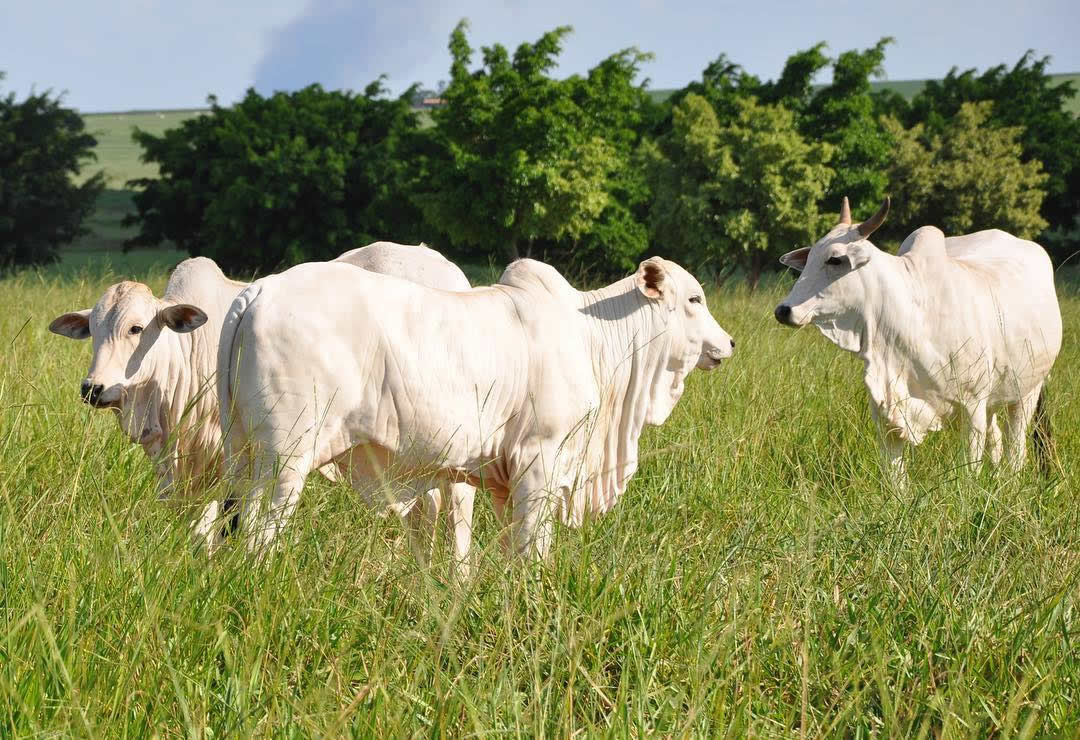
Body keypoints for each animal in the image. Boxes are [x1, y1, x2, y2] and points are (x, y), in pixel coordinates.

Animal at [49, 239, 473, 544]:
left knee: (457, 515)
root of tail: (450, 271)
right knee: (427, 509)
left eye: (136, 328)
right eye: (93, 330)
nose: (93, 388)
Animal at [214, 257, 730, 561]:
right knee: (260, 531)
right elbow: (532, 546)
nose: (727, 343)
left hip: (243, 455)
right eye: (694, 298)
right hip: (285, 458)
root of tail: (258, 291)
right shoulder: (540, 457)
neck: (591, 335)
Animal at [777, 196, 1062, 475]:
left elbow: (969, 472)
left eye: (834, 259)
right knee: (999, 440)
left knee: (1016, 449)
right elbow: (894, 477)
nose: (783, 310)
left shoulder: (972, 409)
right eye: (809, 258)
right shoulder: (887, 416)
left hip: (1027, 392)